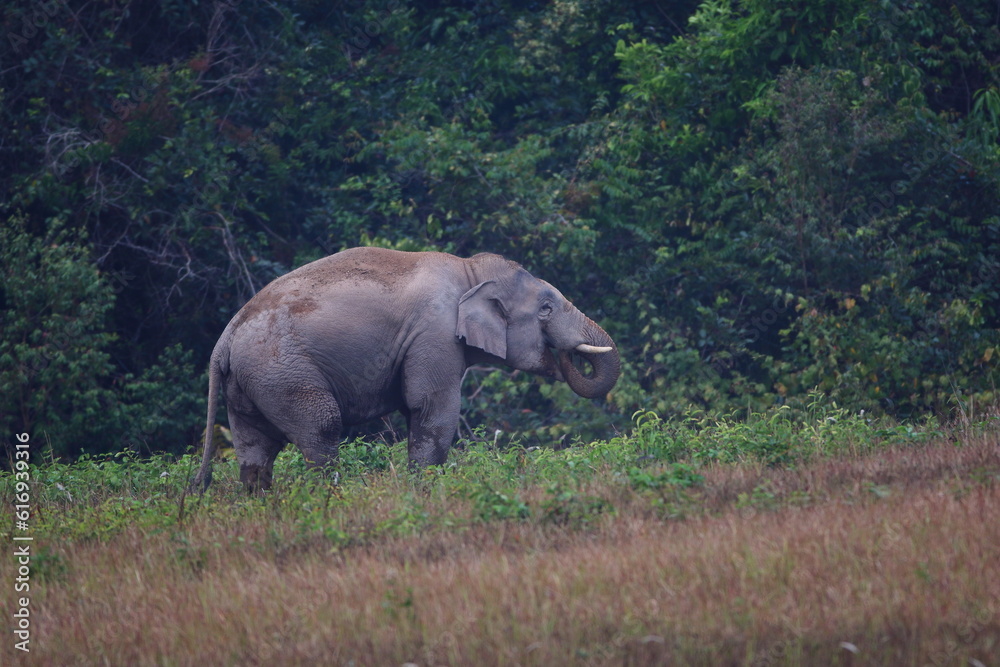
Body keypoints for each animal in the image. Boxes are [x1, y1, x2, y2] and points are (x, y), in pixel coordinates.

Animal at [192, 247, 620, 491]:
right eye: (546, 308)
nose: (564, 354)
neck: (470, 271)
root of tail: (223, 340)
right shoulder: (435, 334)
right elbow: (431, 410)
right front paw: (424, 496)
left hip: (249, 382)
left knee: (255, 448)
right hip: (281, 371)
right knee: (321, 428)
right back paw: (328, 502)